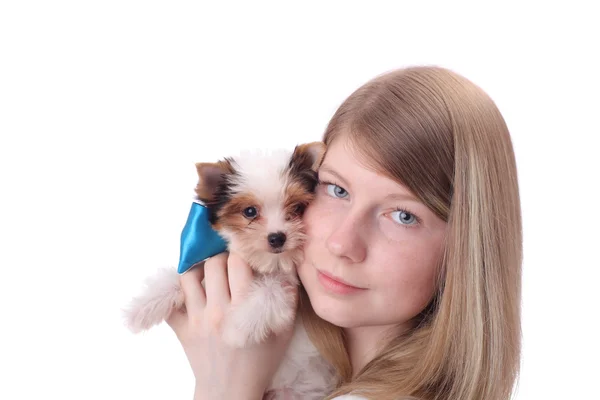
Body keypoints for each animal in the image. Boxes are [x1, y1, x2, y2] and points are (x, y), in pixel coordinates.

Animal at [122, 143, 338, 400]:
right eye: (250, 212)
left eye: (297, 208)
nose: (277, 237)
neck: (263, 264)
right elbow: (180, 277)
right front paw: (143, 306)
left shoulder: (289, 285)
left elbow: (270, 291)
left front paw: (238, 328)